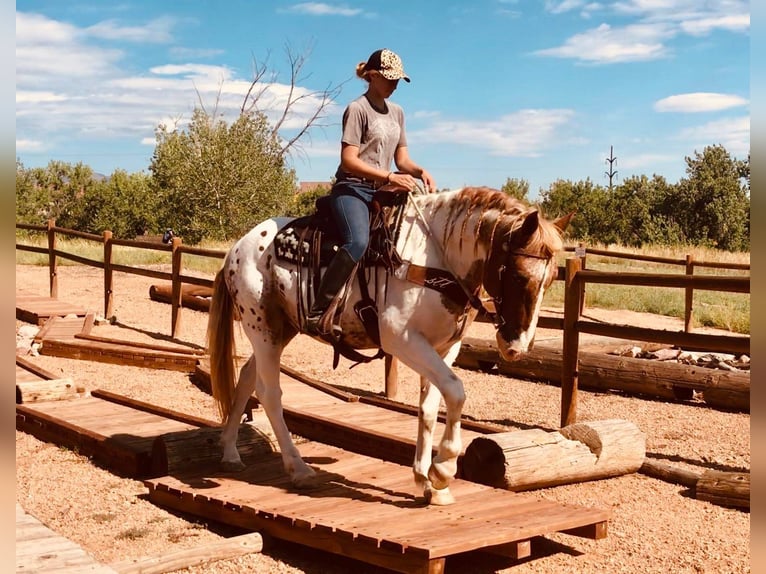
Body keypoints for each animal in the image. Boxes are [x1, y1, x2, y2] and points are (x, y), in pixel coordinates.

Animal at [207, 187, 572, 506]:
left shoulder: (445, 347)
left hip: (278, 330)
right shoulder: (402, 338)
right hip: (263, 329)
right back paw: (299, 468)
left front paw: (427, 481)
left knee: (246, 377)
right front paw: (443, 469)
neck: (434, 256)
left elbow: (430, 406)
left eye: (552, 279)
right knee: (270, 393)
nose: (517, 346)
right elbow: (456, 392)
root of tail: (237, 249)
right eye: (518, 276)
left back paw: (230, 453)